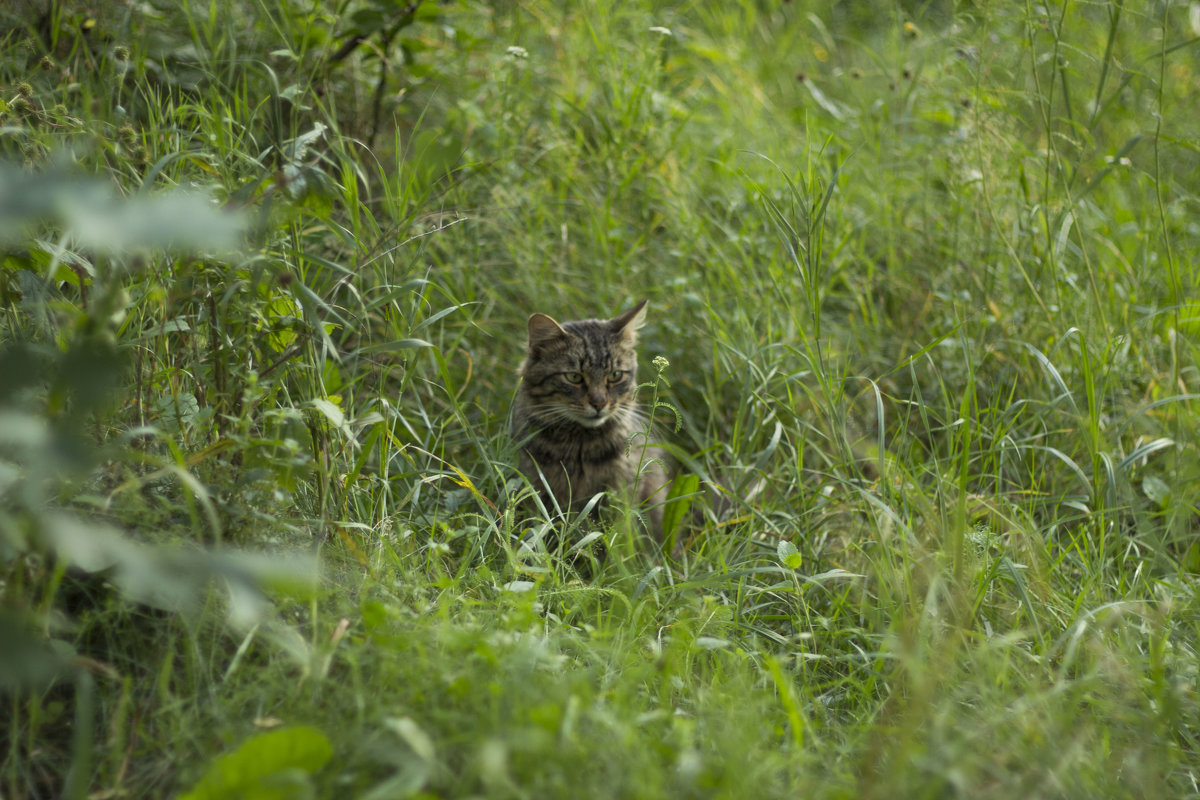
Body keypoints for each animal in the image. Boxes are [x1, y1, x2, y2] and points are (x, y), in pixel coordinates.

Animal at [511, 297, 672, 546]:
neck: (580, 448)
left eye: (615, 375)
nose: (599, 404)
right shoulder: (536, 485)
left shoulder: (619, 491)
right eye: (574, 377)